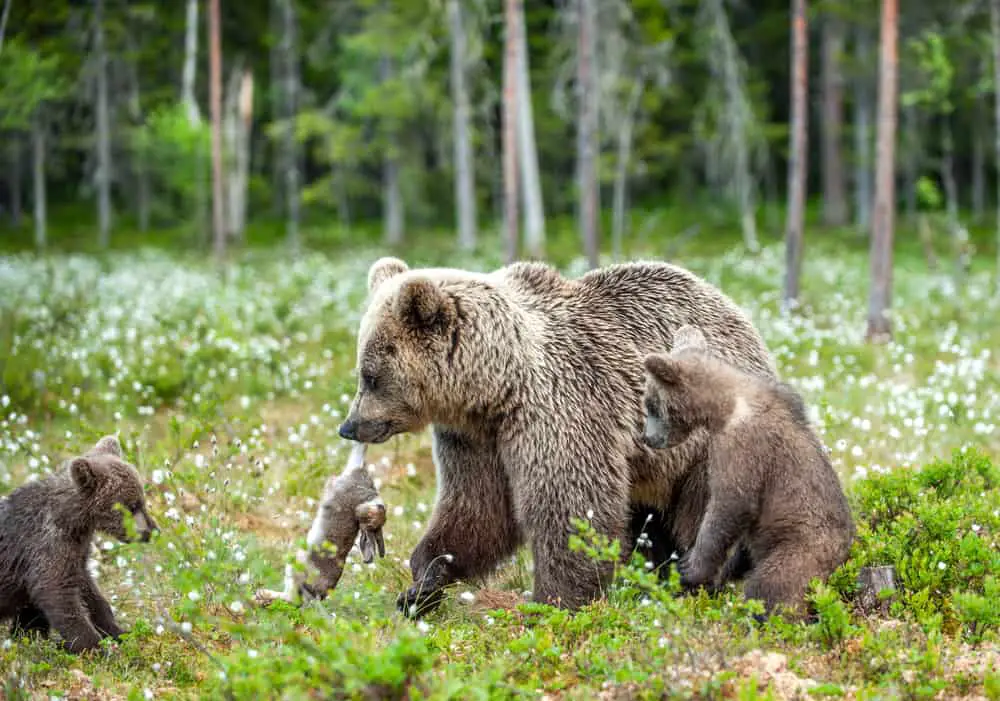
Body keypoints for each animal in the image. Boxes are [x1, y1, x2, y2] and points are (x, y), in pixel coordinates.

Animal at [340, 256, 776, 612]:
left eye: (371, 376)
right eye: (362, 370)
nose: (349, 426)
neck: (496, 387)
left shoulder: (560, 409)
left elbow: (569, 507)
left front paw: (554, 599)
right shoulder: (475, 438)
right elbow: (476, 507)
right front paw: (423, 582)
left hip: (702, 442)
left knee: (705, 509)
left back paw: (700, 579)